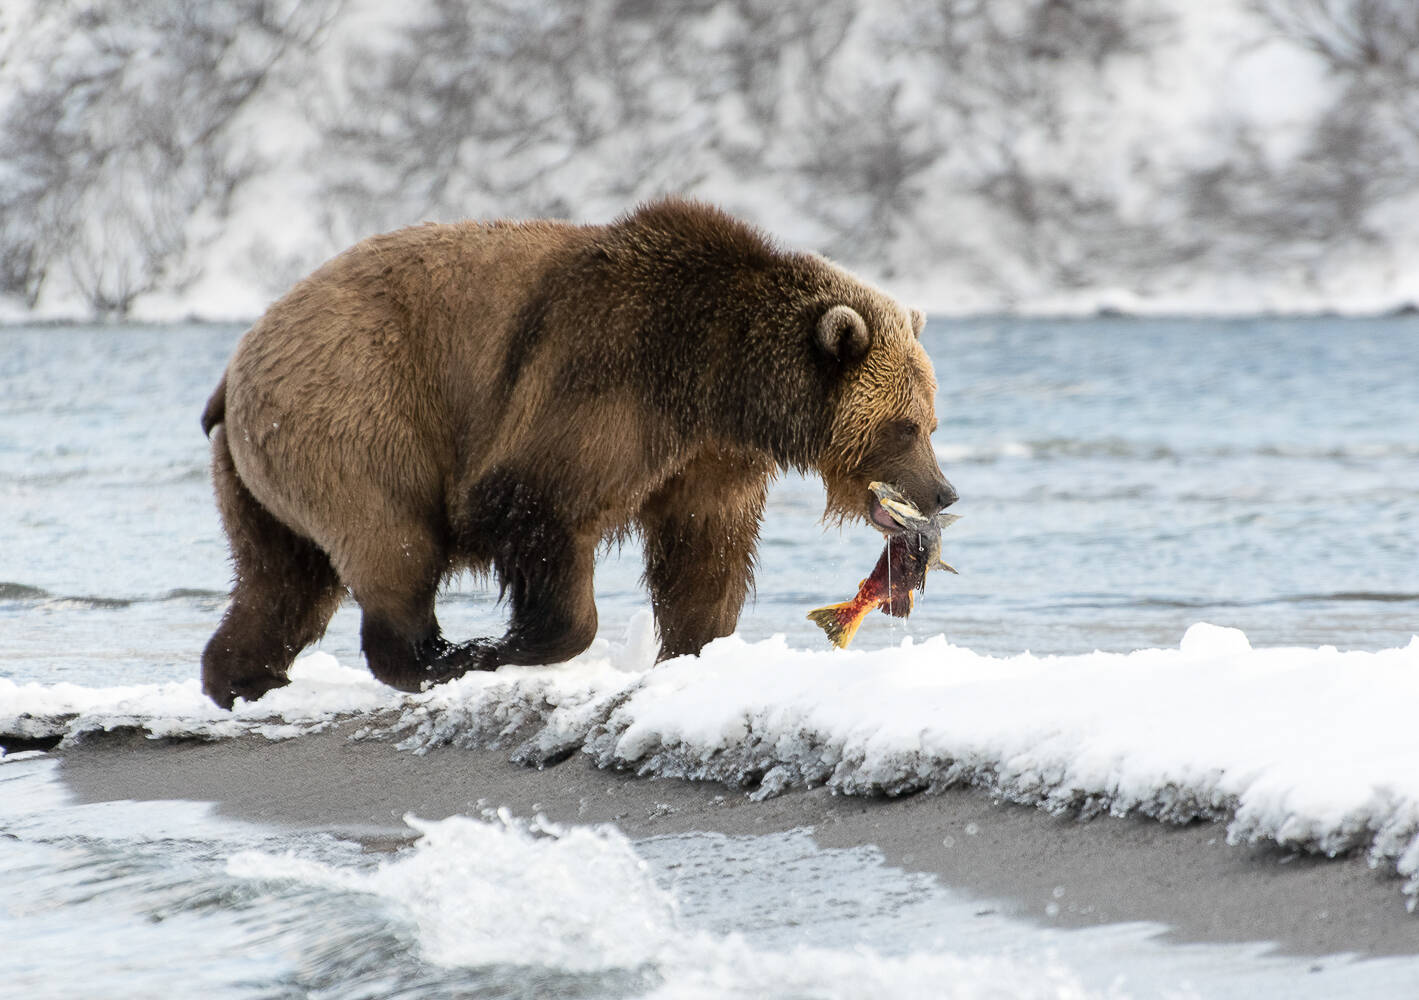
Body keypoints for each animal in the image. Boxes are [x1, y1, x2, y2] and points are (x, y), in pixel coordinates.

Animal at [197, 198, 953, 706]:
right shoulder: (599, 374)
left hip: (263, 469)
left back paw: (244, 674)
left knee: (281, 575)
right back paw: (439, 656)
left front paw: (695, 649)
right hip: (356, 412)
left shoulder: (707, 456)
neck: (720, 378)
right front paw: (515, 644)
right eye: (906, 427)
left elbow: (705, 552)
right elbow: (538, 507)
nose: (942, 492)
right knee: (392, 541)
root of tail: (236, 365)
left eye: (930, 422)